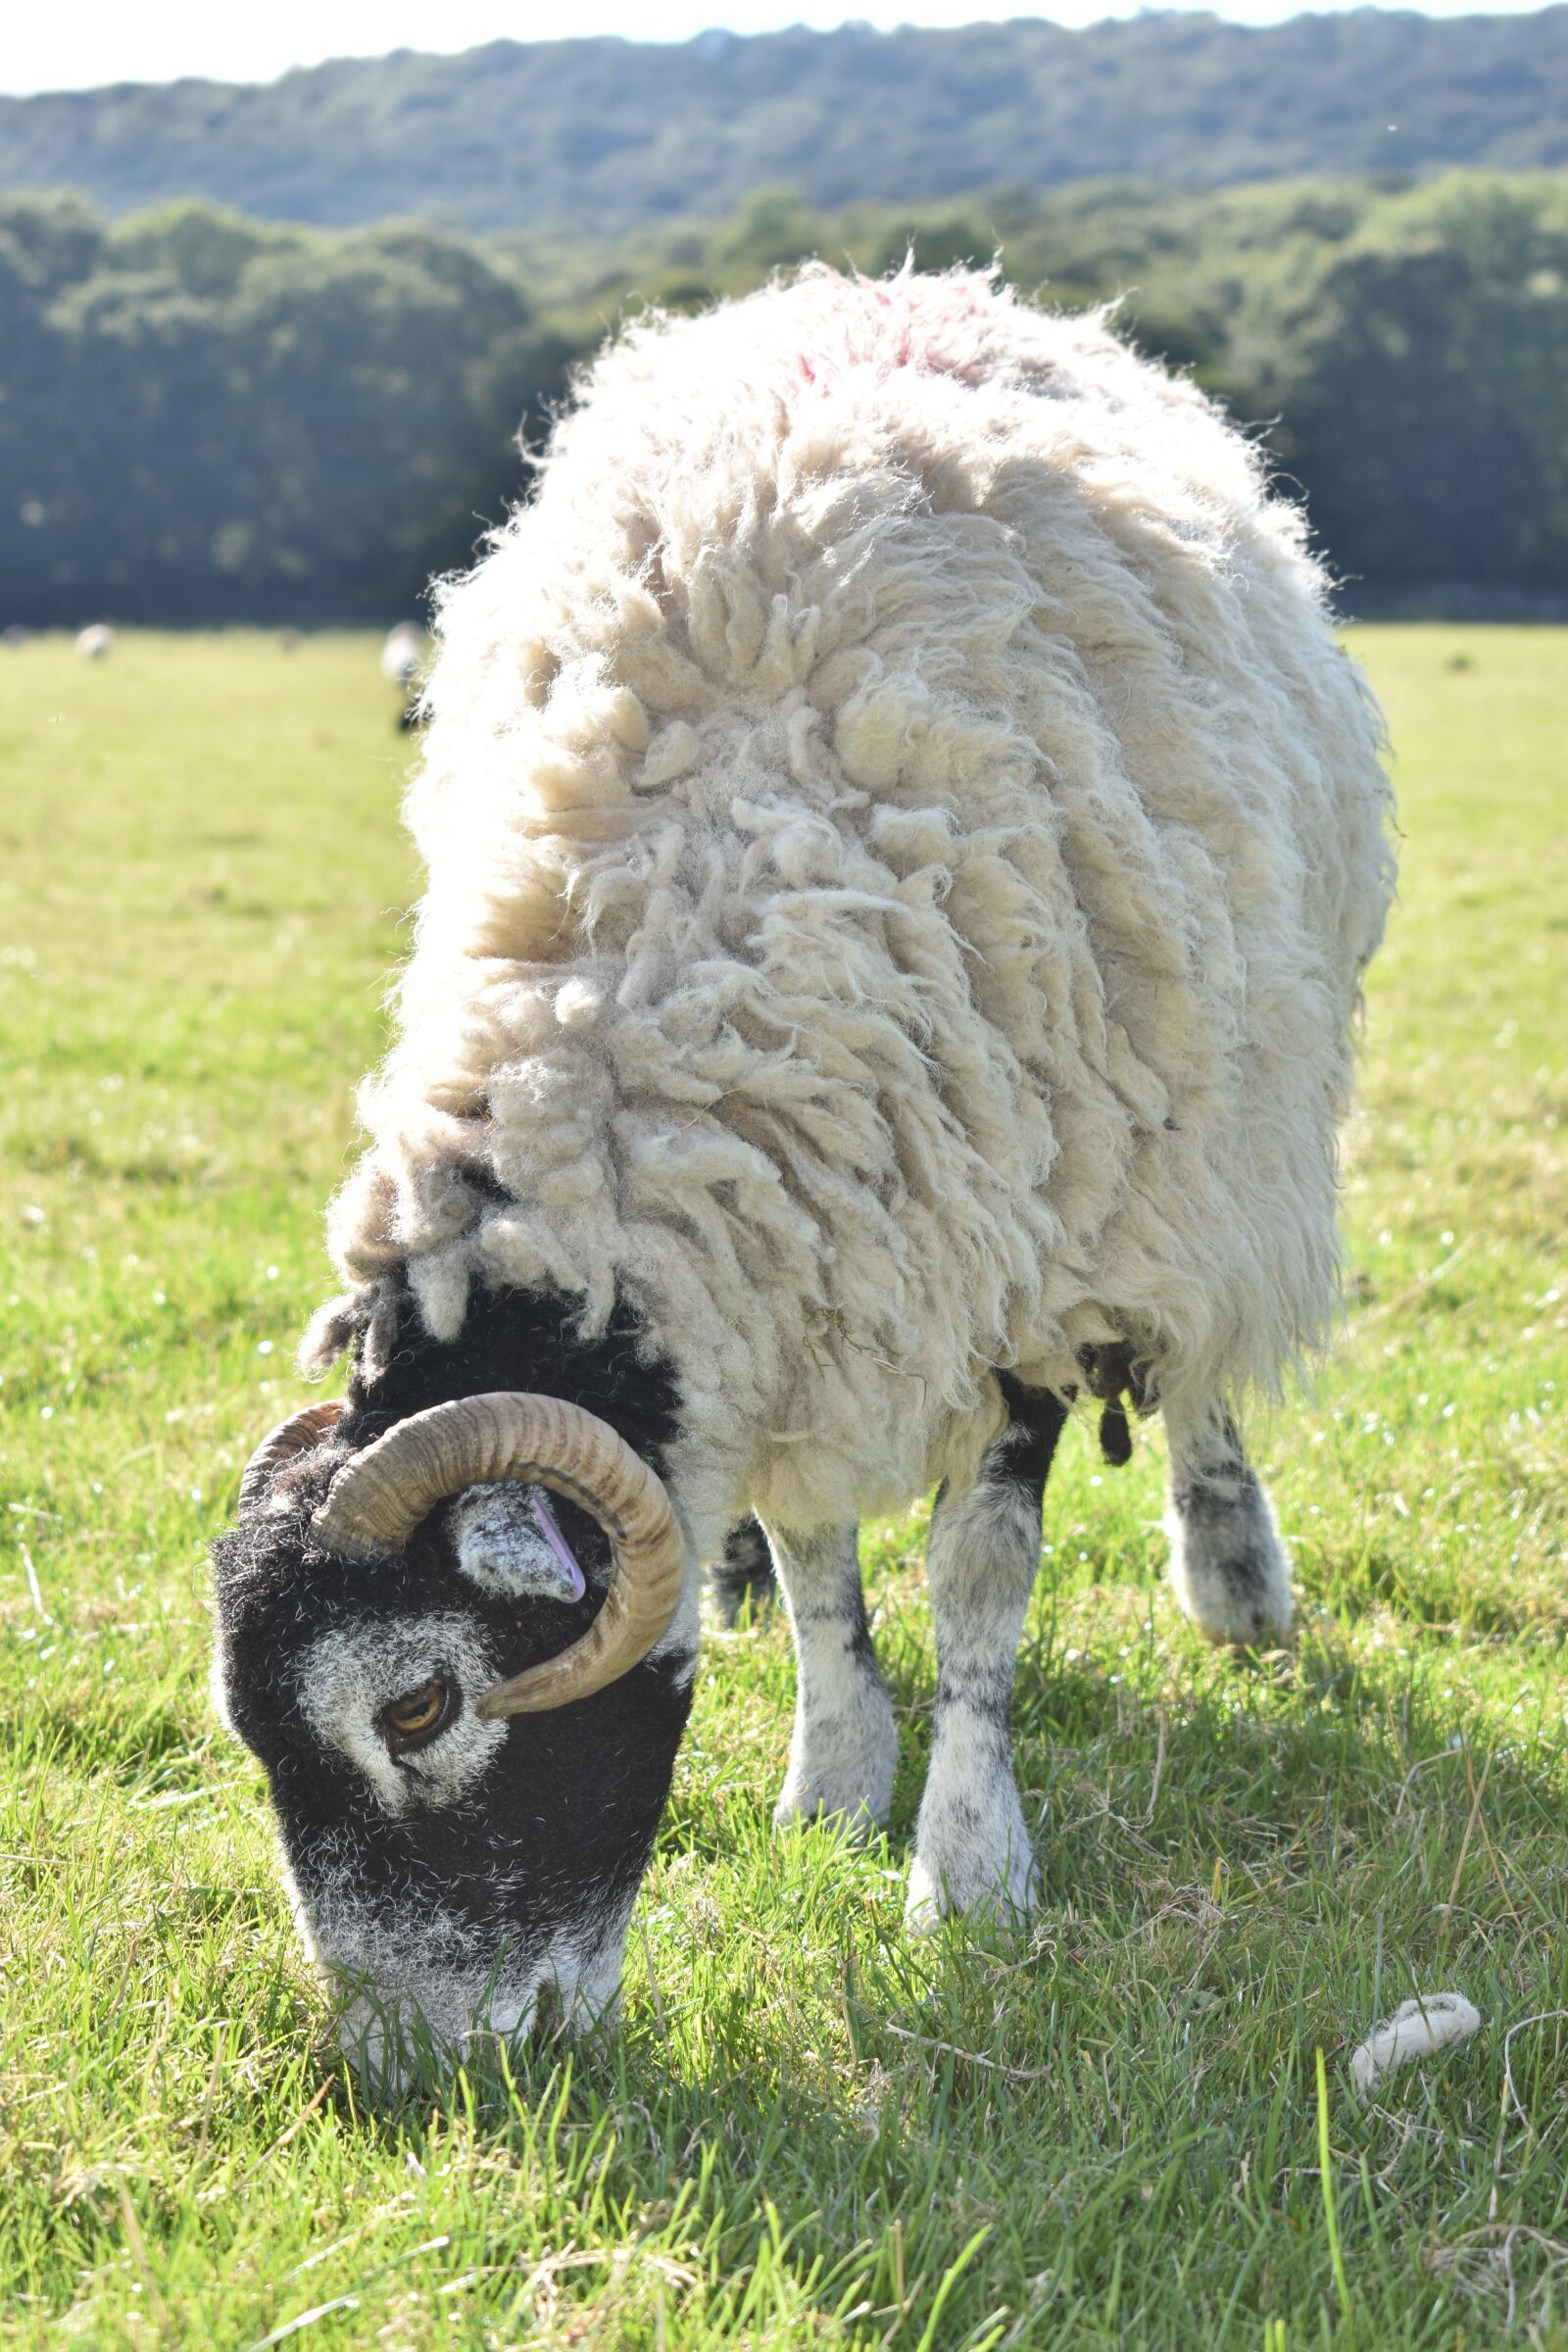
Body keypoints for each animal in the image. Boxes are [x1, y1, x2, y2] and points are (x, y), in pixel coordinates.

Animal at [212, 266, 1394, 2079]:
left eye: (416, 1705)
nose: (413, 2079)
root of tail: (911, 281)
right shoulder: (808, 1251)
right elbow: (813, 1534)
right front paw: (833, 1771)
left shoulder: (1030, 1252)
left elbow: (978, 1583)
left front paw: (966, 1864)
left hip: (1212, 1119)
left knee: (1200, 1359)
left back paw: (1232, 1565)